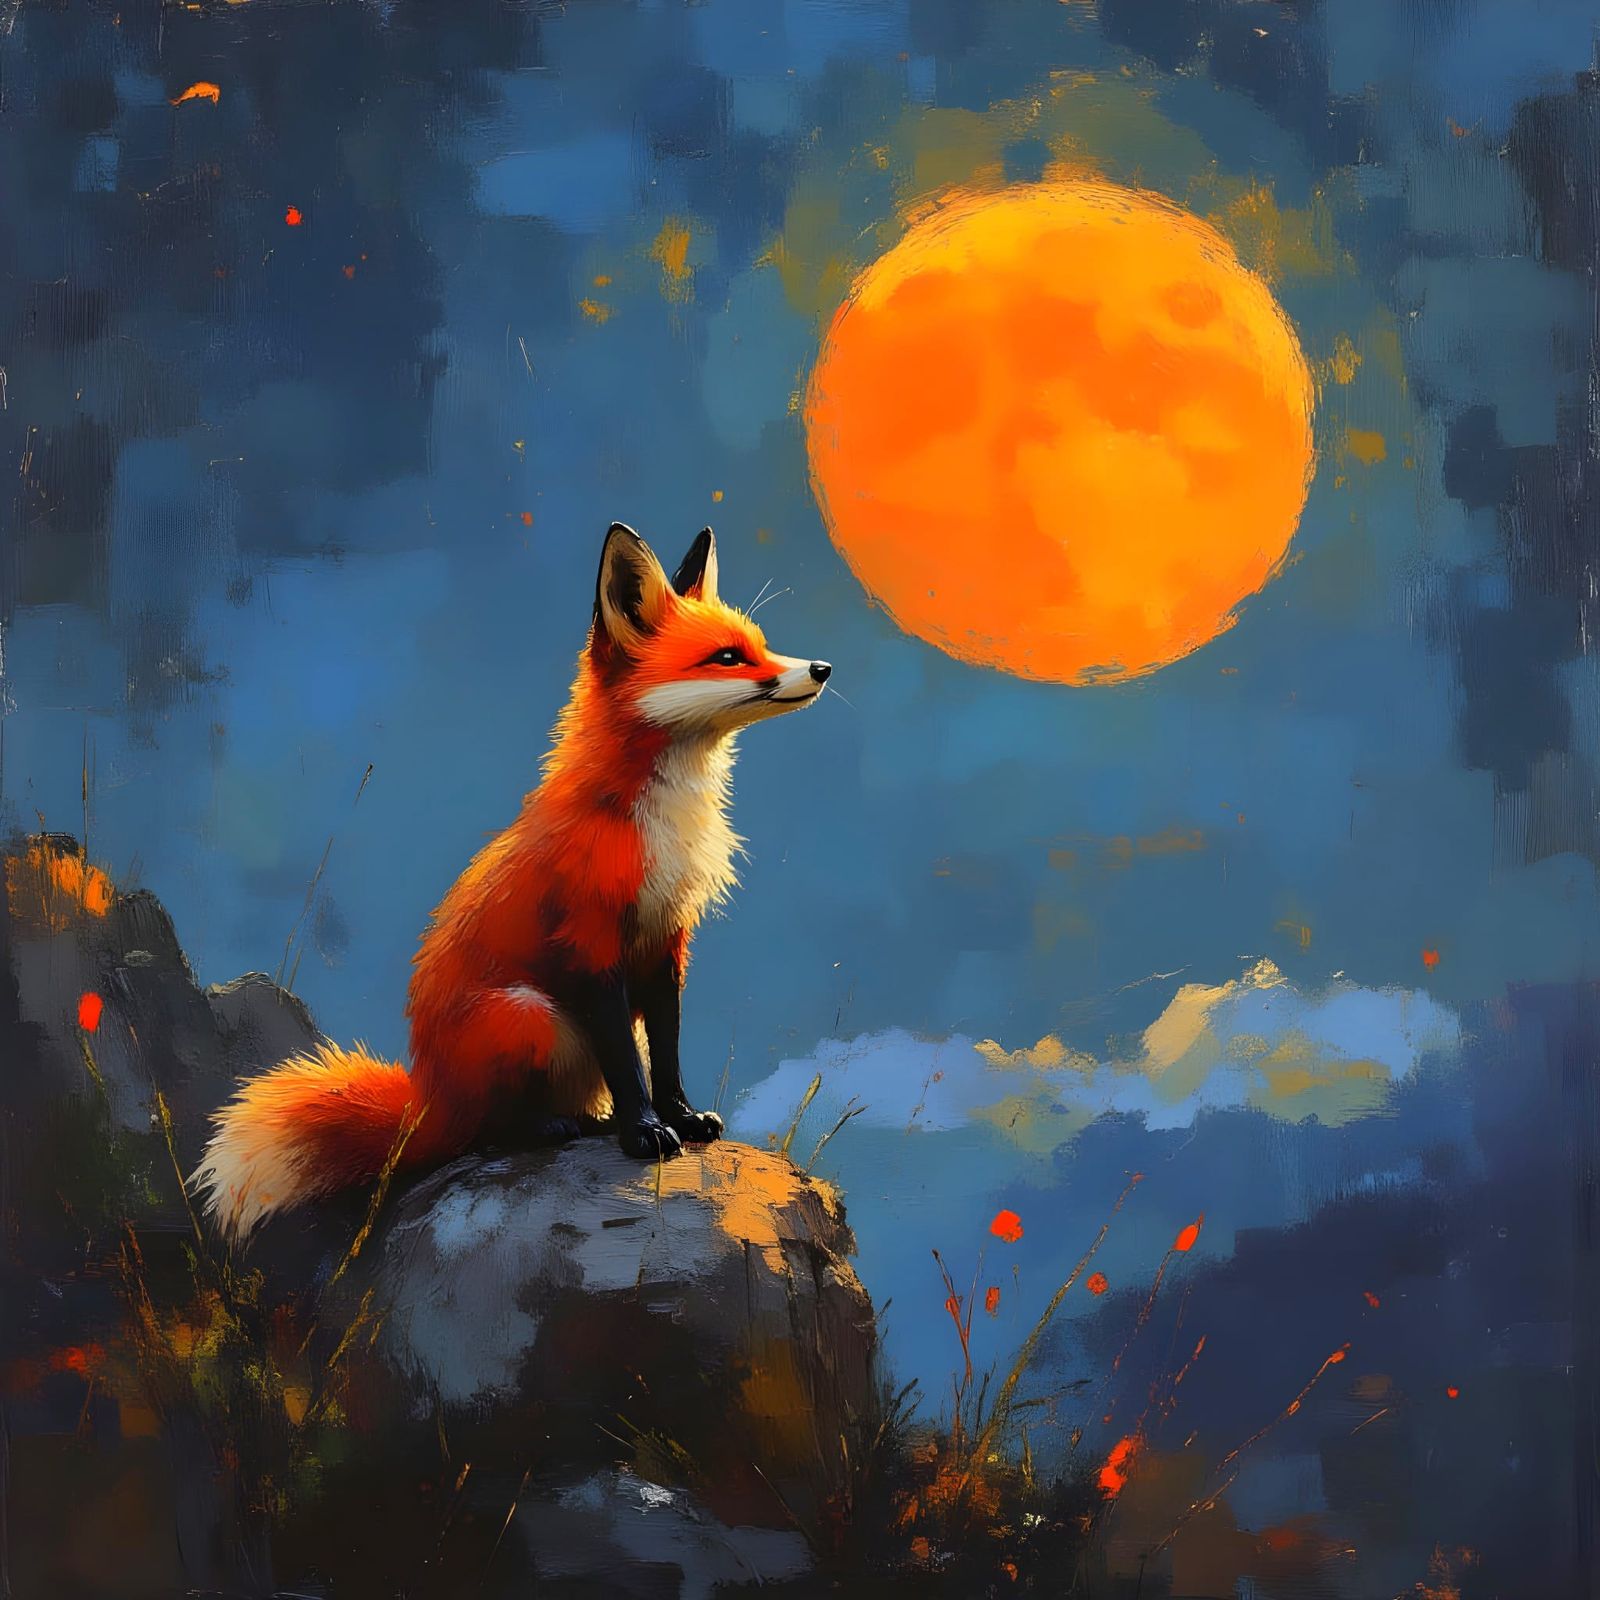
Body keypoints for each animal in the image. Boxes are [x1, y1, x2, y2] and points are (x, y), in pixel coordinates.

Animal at [191, 522, 832, 1243]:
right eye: (726, 657)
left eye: (759, 645)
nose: (822, 669)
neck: (656, 823)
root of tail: (428, 1098)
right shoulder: (592, 941)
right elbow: (628, 1065)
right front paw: (644, 1134)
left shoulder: (668, 942)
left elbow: (664, 1056)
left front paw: (682, 1119)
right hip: (524, 1015)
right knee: (488, 1133)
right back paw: (553, 1126)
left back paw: (587, 1120)